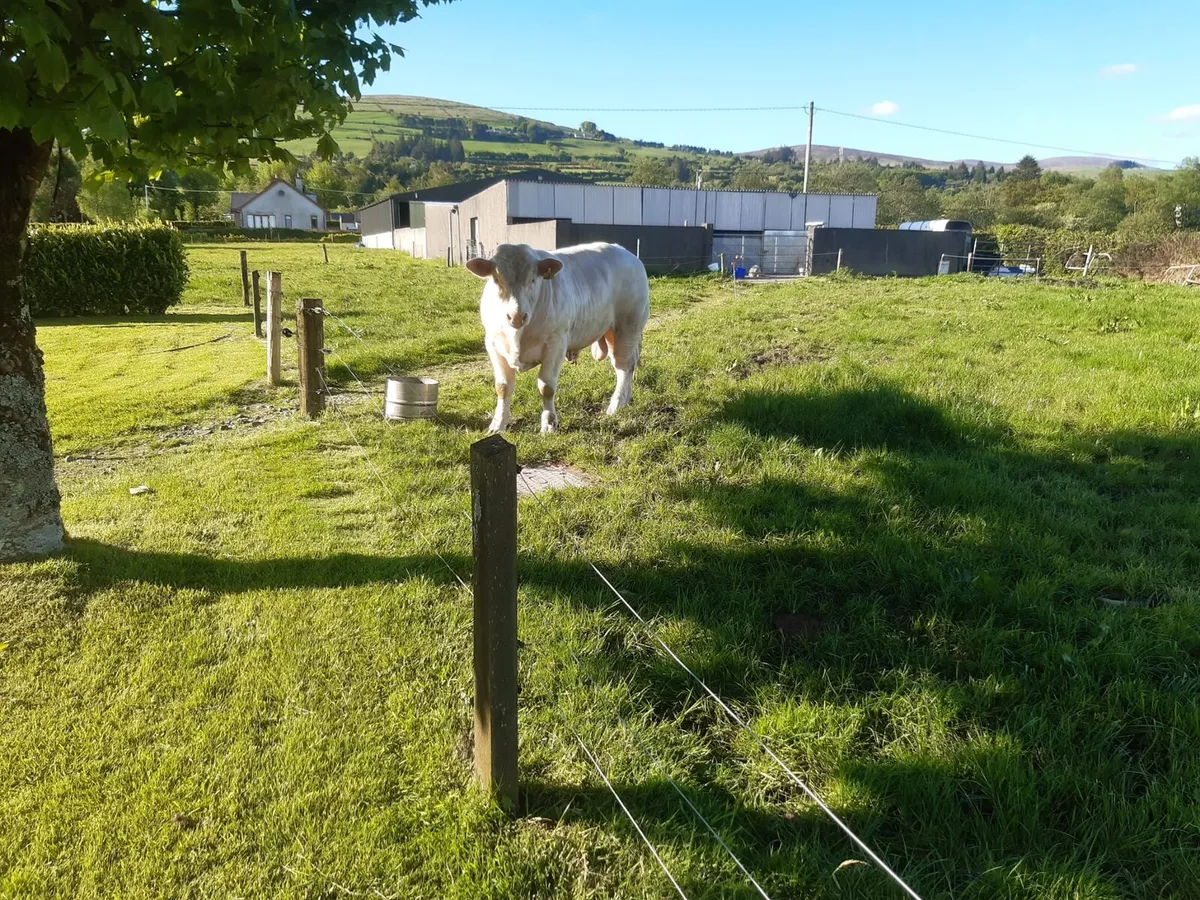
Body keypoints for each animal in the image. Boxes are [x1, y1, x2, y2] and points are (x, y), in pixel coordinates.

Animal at [466, 242, 650, 434]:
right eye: (497, 280)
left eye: (533, 280)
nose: (516, 316)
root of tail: (626, 253)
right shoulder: (493, 345)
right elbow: (502, 387)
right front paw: (498, 423)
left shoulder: (555, 345)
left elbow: (546, 387)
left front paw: (548, 423)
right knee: (630, 365)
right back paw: (626, 399)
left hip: (627, 328)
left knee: (623, 367)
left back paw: (617, 403)